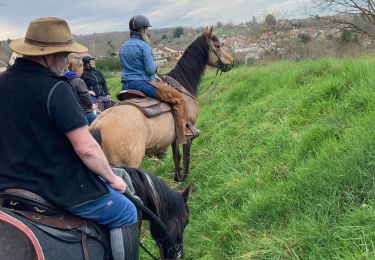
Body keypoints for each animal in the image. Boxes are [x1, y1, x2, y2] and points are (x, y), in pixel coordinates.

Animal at [89, 26, 234, 181]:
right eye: (218, 46)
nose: (232, 61)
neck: (182, 85)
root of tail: (96, 127)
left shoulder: (175, 136)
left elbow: (176, 156)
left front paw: (177, 177)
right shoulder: (188, 135)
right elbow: (186, 156)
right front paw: (185, 177)